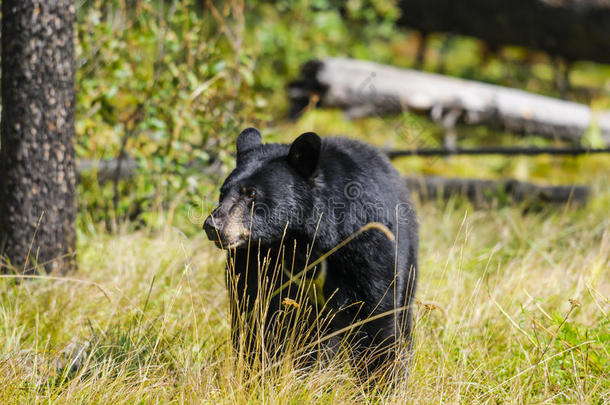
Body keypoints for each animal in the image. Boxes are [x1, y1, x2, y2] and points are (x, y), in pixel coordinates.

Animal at [202, 127, 416, 376]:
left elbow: (376, 312)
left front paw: (382, 377)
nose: (213, 226)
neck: (302, 240)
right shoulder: (255, 261)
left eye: (252, 194)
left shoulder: (366, 246)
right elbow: (254, 311)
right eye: (223, 192)